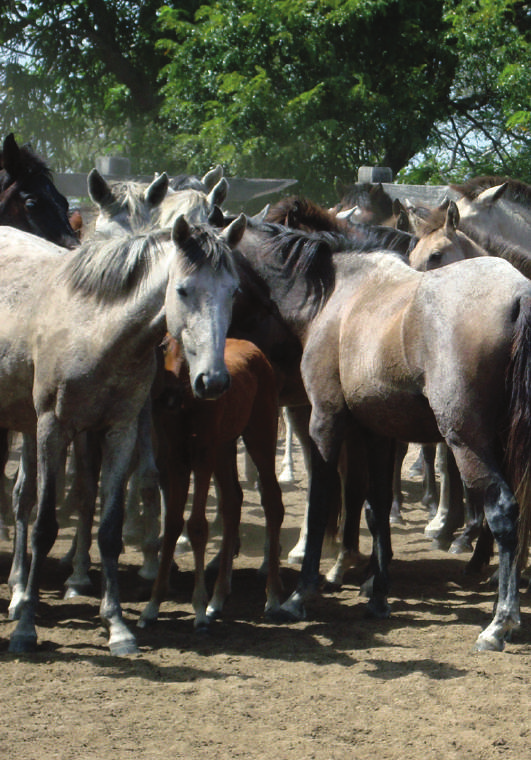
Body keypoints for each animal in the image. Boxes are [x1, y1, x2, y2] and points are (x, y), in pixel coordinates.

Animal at [0, 214, 245, 652]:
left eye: (233, 291)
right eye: (183, 289)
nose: (213, 381)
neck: (94, 329)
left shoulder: (120, 431)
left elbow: (110, 530)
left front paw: (116, 625)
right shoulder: (53, 429)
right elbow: (45, 528)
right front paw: (26, 629)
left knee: (22, 496)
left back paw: (18, 589)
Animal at [139, 336, 284, 628]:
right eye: (163, 345)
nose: (169, 395)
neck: (187, 406)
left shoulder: (202, 458)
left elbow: (197, 526)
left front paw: (198, 609)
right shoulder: (177, 461)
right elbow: (172, 524)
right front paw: (152, 606)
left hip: (260, 436)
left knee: (273, 501)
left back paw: (272, 598)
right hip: (225, 447)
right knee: (232, 502)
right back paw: (218, 599)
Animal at [234, 221, 531, 652]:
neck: (335, 294)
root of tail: (519, 293)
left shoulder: (325, 423)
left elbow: (321, 503)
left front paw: (299, 595)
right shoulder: (375, 432)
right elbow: (376, 509)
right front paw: (377, 594)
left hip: (467, 441)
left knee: (504, 510)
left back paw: (500, 621)